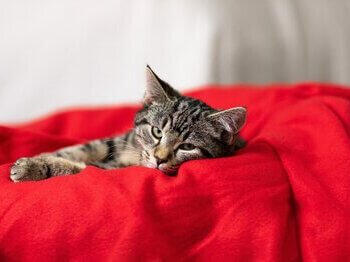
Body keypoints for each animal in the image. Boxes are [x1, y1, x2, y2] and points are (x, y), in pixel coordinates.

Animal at [10, 65, 246, 182]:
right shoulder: (116, 141)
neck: (136, 154)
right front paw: (42, 157)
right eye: (157, 131)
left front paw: (35, 167)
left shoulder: (117, 168)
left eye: (187, 147)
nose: (159, 159)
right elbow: (79, 149)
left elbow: (87, 167)